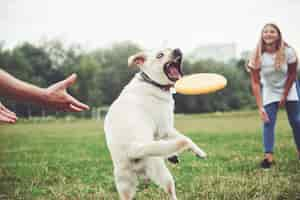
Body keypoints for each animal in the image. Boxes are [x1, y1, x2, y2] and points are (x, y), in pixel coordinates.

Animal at [105, 48, 206, 200]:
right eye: (160, 55)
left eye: (171, 49)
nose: (177, 50)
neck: (151, 82)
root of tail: (132, 148)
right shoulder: (165, 128)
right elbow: (186, 138)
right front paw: (199, 152)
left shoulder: (160, 134)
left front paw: (173, 156)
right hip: (161, 171)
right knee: (171, 191)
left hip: (124, 184)